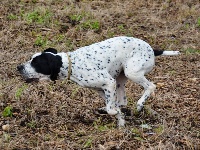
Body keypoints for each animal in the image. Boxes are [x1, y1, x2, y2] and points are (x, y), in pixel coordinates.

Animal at [17, 36, 180, 126]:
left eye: (36, 63)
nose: (19, 67)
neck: (71, 64)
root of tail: (152, 49)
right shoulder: (102, 89)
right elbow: (113, 106)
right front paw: (121, 121)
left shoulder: (109, 83)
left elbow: (111, 109)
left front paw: (116, 114)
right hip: (120, 78)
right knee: (123, 101)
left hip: (131, 72)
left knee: (151, 86)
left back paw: (140, 104)